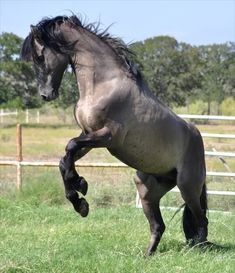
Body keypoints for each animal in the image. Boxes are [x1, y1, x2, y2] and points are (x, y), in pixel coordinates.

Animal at [21, 15, 208, 255]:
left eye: (40, 56)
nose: (45, 95)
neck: (104, 84)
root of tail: (196, 136)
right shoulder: (89, 135)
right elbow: (65, 159)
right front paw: (80, 199)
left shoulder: (109, 136)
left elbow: (70, 146)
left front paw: (80, 186)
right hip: (147, 189)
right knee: (159, 225)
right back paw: (148, 255)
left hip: (187, 186)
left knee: (201, 219)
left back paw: (199, 249)